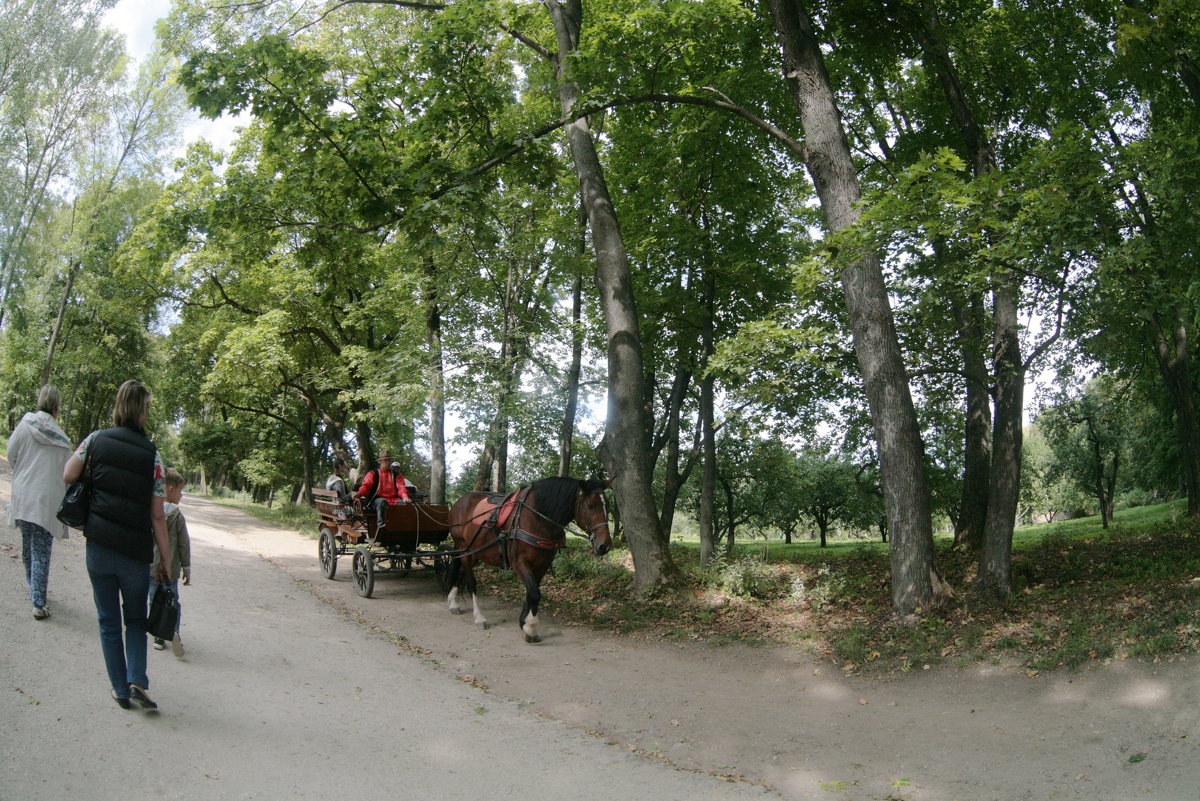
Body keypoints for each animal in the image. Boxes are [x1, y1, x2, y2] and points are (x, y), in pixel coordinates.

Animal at [448, 479, 614, 642]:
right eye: (590, 506)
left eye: (608, 505)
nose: (604, 545)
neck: (538, 518)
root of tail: (459, 502)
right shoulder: (519, 562)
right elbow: (534, 592)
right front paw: (531, 627)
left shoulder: (543, 563)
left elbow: (532, 591)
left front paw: (524, 622)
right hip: (464, 550)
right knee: (470, 581)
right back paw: (479, 617)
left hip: (475, 552)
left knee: (460, 572)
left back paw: (453, 602)